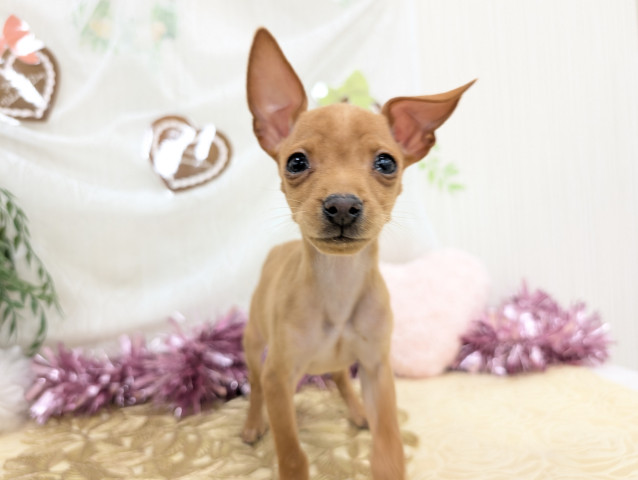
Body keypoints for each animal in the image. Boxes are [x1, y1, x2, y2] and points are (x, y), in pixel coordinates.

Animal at [241, 28, 474, 480]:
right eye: (296, 162)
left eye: (386, 163)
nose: (343, 206)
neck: (339, 282)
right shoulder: (280, 374)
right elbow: (291, 451)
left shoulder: (377, 369)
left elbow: (389, 444)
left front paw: (381, 446)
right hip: (253, 339)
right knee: (257, 383)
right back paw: (253, 421)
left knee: (338, 375)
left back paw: (357, 410)